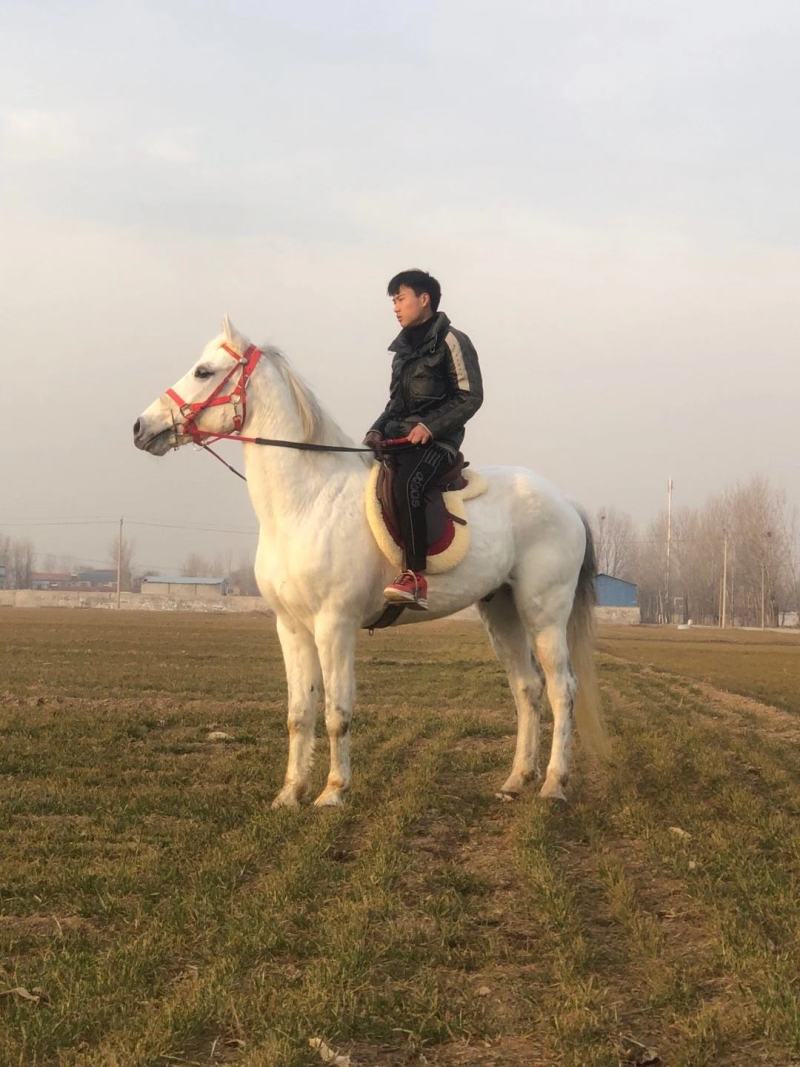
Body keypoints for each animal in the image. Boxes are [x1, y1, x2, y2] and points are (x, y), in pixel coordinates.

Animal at [133, 316, 608, 808]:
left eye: (203, 372)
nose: (140, 427)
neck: (307, 500)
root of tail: (564, 501)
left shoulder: (334, 625)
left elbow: (336, 711)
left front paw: (332, 792)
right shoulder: (292, 627)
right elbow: (299, 713)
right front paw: (290, 793)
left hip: (544, 614)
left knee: (561, 690)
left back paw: (553, 785)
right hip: (502, 611)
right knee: (527, 688)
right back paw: (516, 780)